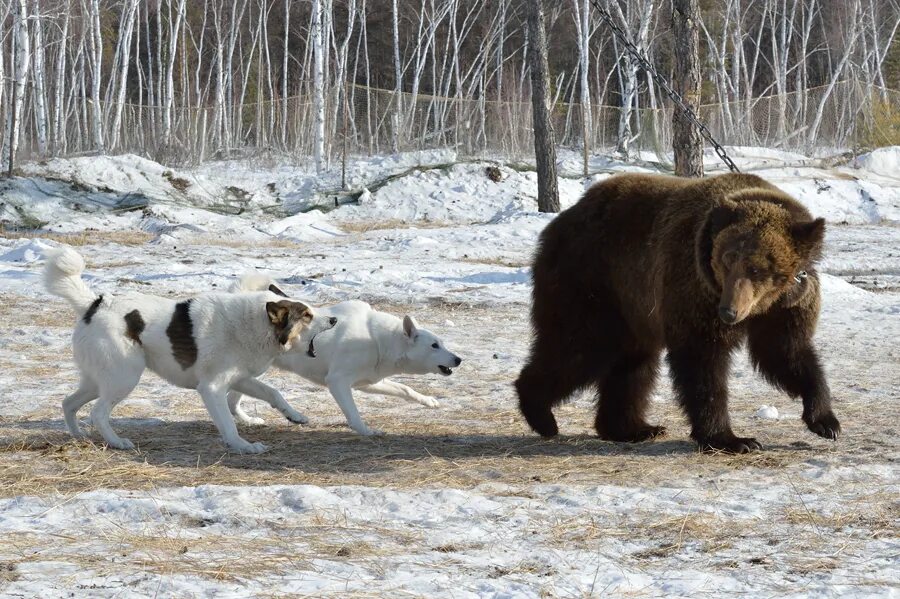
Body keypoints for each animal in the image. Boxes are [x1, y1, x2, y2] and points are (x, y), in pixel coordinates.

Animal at [230, 276, 464, 436]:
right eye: (434, 345)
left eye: (441, 343)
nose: (458, 360)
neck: (377, 340)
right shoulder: (338, 382)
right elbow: (353, 413)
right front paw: (366, 431)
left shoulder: (368, 382)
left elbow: (405, 389)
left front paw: (428, 401)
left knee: (232, 402)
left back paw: (248, 420)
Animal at [516, 171, 840, 452]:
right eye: (726, 258)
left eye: (758, 268)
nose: (729, 312)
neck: (762, 304)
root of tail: (562, 219)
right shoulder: (694, 289)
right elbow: (703, 360)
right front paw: (733, 439)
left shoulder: (787, 305)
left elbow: (786, 353)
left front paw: (826, 421)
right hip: (594, 281)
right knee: (578, 347)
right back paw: (540, 413)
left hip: (633, 308)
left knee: (632, 364)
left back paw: (632, 427)